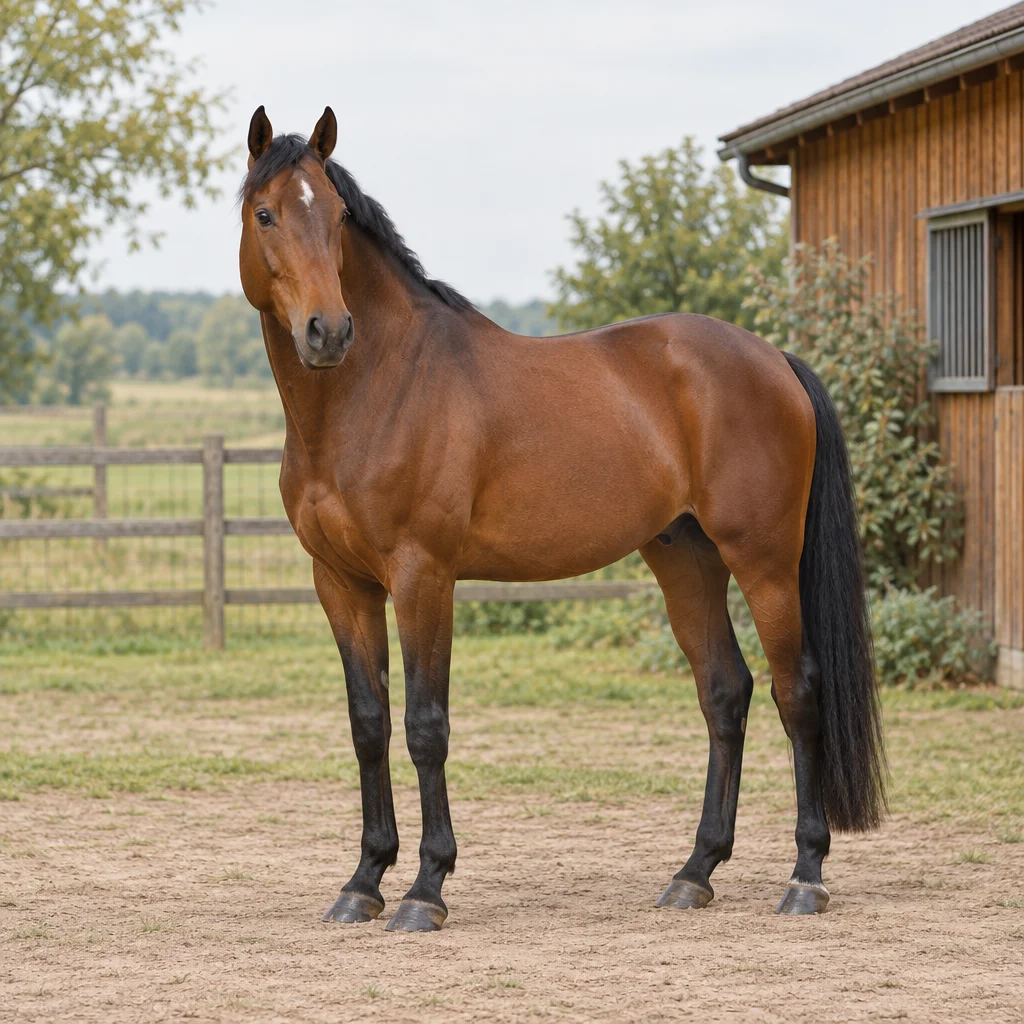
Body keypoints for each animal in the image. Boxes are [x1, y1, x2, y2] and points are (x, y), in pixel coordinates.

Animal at [238, 105, 885, 932]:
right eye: (266, 214)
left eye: (339, 217)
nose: (328, 332)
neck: (379, 390)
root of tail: (774, 360)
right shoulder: (341, 583)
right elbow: (369, 723)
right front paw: (363, 882)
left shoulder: (423, 577)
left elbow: (425, 725)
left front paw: (425, 889)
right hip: (685, 558)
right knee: (725, 692)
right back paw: (694, 872)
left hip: (764, 559)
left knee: (795, 691)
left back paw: (805, 875)